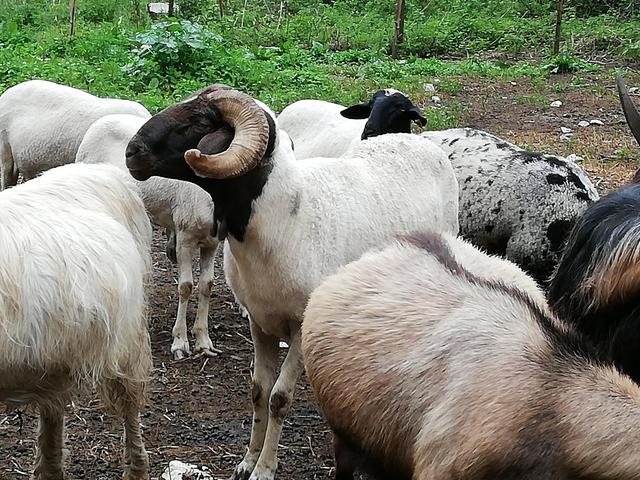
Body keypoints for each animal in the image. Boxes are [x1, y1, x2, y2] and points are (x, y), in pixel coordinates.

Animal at [0, 162, 152, 480]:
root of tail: (103, 170)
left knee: (131, 408)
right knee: (53, 412)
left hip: (127, 341)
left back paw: (136, 468)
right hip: (54, 356)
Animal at [76, 114, 220, 359]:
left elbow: (206, 285)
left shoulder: (212, 243)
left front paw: (203, 340)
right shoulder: (185, 237)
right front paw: (180, 341)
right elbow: (186, 286)